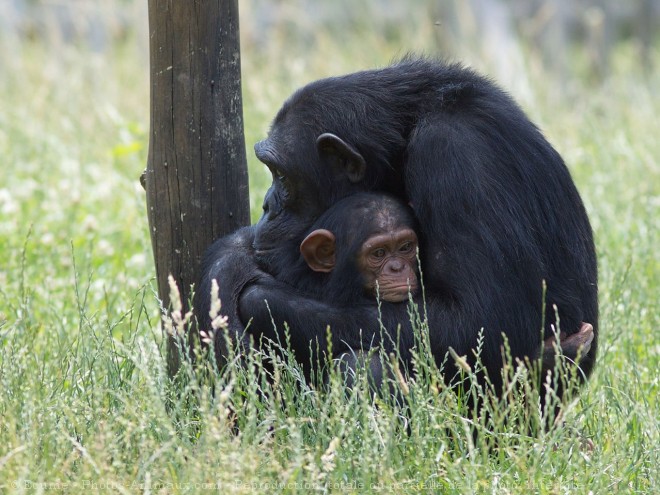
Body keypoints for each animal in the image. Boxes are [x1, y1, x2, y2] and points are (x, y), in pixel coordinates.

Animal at [196, 57, 600, 396]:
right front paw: (229, 262)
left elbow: (484, 320)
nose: (267, 206)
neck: (406, 133)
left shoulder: (457, 155)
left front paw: (255, 293)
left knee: (363, 363)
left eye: (280, 174)